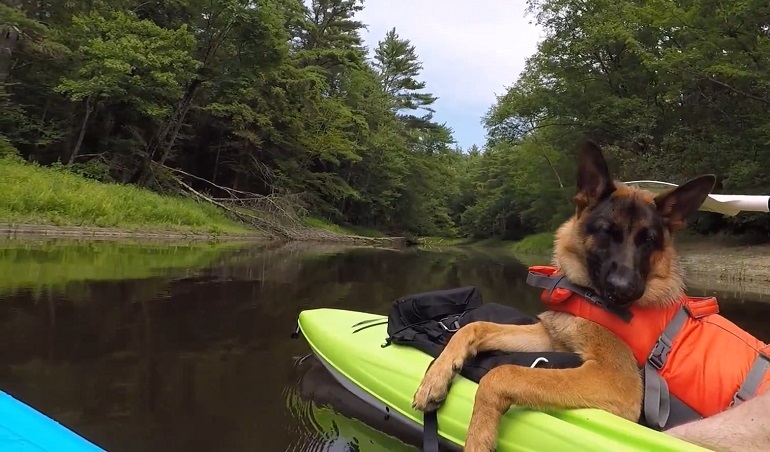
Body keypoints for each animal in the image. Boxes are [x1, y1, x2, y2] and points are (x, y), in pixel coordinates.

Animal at [412, 141, 716, 452]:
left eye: (649, 240)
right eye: (606, 231)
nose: (625, 290)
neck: (587, 293)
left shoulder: (614, 379)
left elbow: (503, 372)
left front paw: (478, 436)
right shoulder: (550, 338)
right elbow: (475, 326)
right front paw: (435, 378)